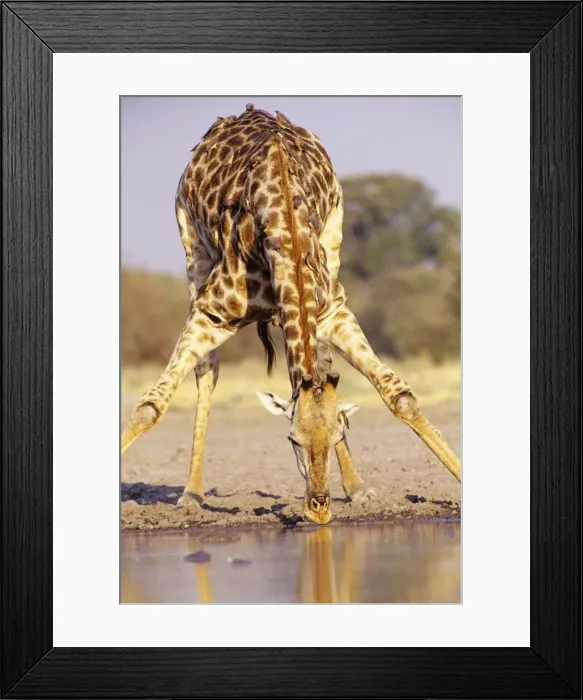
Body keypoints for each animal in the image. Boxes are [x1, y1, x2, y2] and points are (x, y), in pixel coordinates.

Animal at [121, 104, 461, 525]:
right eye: (291, 439)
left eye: (338, 435)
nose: (319, 508)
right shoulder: (210, 313)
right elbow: (149, 407)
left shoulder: (333, 311)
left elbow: (399, 396)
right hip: (192, 250)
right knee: (207, 372)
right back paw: (192, 493)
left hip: (333, 242)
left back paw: (358, 487)